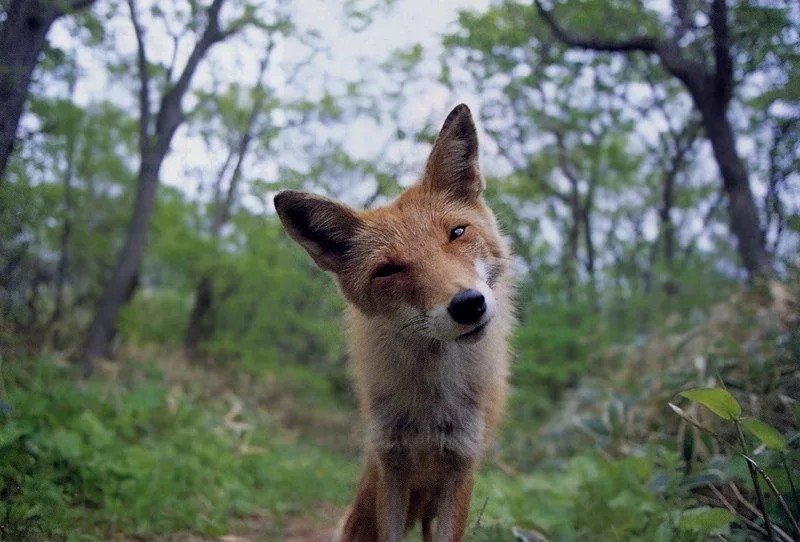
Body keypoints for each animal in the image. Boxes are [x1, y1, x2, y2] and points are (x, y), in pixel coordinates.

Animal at [274, 104, 512, 540]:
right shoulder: (392, 465)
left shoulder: (460, 468)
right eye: (388, 270)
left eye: (457, 232)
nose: (468, 305)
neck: (431, 405)